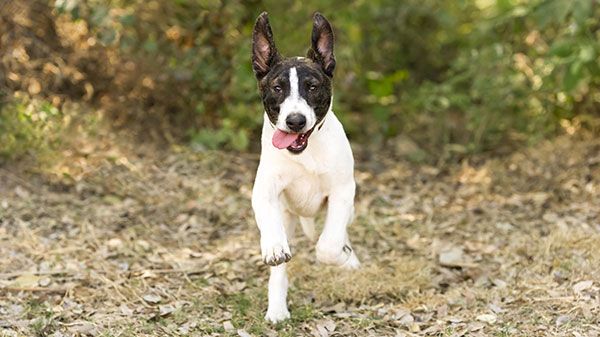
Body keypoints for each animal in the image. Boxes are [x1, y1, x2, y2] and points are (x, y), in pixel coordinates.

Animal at [250, 11, 358, 322]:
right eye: (277, 88)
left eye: (312, 87)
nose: (295, 121)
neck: (305, 153)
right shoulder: (264, 191)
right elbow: (269, 226)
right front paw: (273, 246)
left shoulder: (343, 191)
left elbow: (329, 245)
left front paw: (343, 257)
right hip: (287, 216)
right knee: (279, 270)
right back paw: (277, 309)